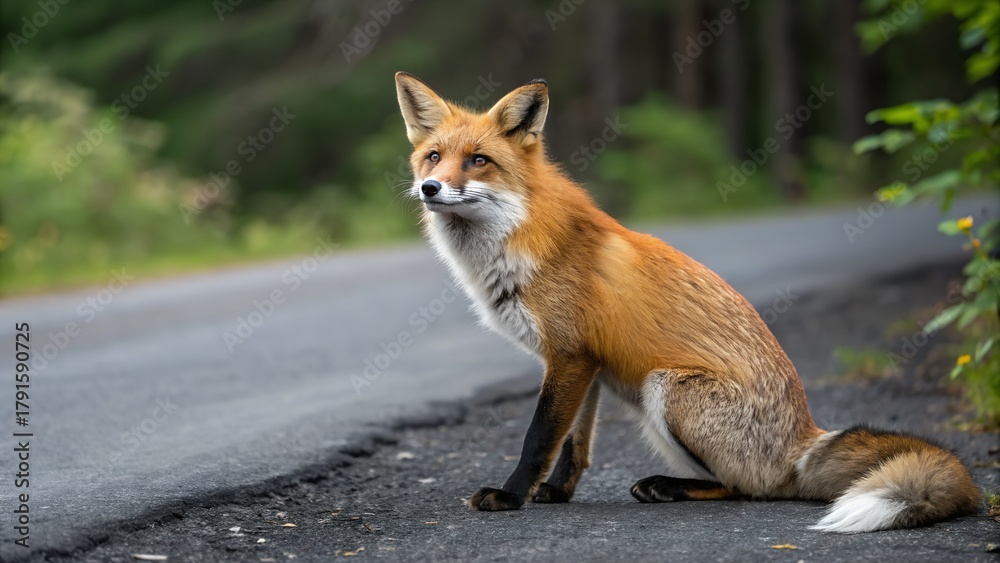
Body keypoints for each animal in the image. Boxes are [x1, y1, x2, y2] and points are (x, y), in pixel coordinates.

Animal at [392, 71, 982, 532]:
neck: (521, 239)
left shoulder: (569, 355)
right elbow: (574, 443)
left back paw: (668, 486)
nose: (429, 188)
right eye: (434, 157)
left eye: (479, 160)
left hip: (667, 389)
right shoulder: (584, 361)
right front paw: (555, 493)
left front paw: (510, 496)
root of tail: (802, 441)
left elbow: (539, 437)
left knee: (752, 488)